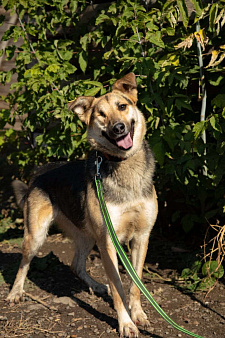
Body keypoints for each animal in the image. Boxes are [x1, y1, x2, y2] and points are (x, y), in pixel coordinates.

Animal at [7, 72, 158, 336]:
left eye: (122, 106)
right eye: (101, 114)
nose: (118, 128)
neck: (123, 165)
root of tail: (38, 173)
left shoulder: (141, 236)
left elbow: (135, 284)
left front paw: (138, 314)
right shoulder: (108, 243)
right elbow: (118, 286)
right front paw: (125, 323)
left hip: (87, 235)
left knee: (75, 265)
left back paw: (95, 286)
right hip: (36, 235)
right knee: (24, 263)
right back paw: (16, 292)